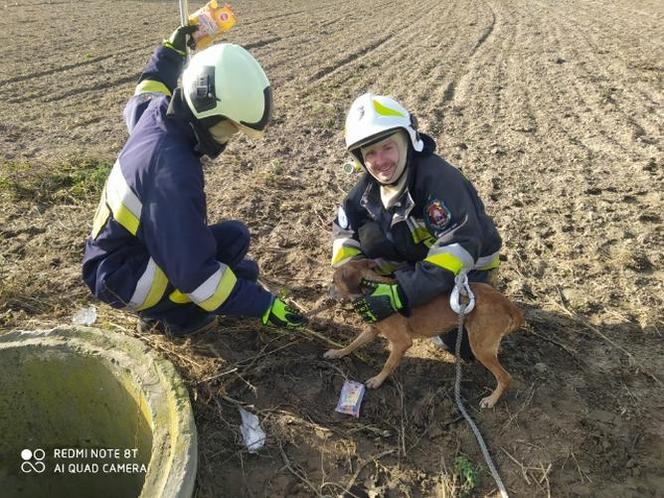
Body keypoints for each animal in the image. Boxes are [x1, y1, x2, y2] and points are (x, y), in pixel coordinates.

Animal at [326, 258, 524, 406]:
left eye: (334, 281)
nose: (327, 291)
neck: (373, 291)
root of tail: (508, 305)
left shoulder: (401, 343)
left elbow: (388, 364)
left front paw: (377, 380)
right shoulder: (372, 330)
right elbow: (353, 344)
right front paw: (337, 352)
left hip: (480, 347)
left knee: (505, 377)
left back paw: (491, 400)